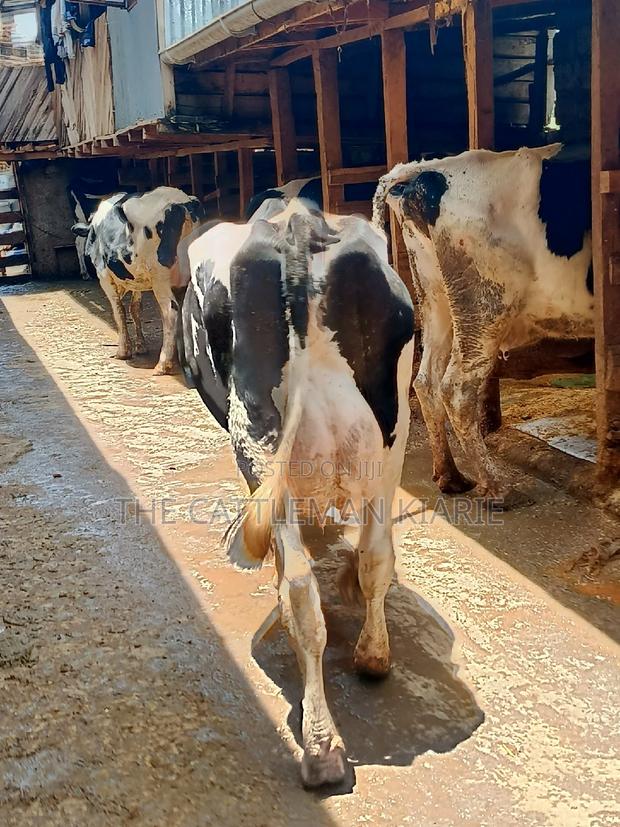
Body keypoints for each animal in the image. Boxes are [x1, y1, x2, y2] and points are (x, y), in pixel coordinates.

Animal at [73, 187, 202, 375]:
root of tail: (181, 203)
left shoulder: (104, 276)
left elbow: (118, 311)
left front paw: (123, 351)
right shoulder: (137, 281)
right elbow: (135, 309)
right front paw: (141, 346)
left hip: (160, 278)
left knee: (170, 311)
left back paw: (163, 364)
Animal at [179, 199, 415, 787]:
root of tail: (298, 225)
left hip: (259, 442)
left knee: (301, 594)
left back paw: (321, 748)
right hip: (391, 443)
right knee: (376, 557)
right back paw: (373, 658)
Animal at [372, 143, 594, 499]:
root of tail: (425, 170)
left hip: (436, 298)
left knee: (426, 381)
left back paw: (451, 476)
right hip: (485, 305)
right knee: (456, 388)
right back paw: (496, 487)